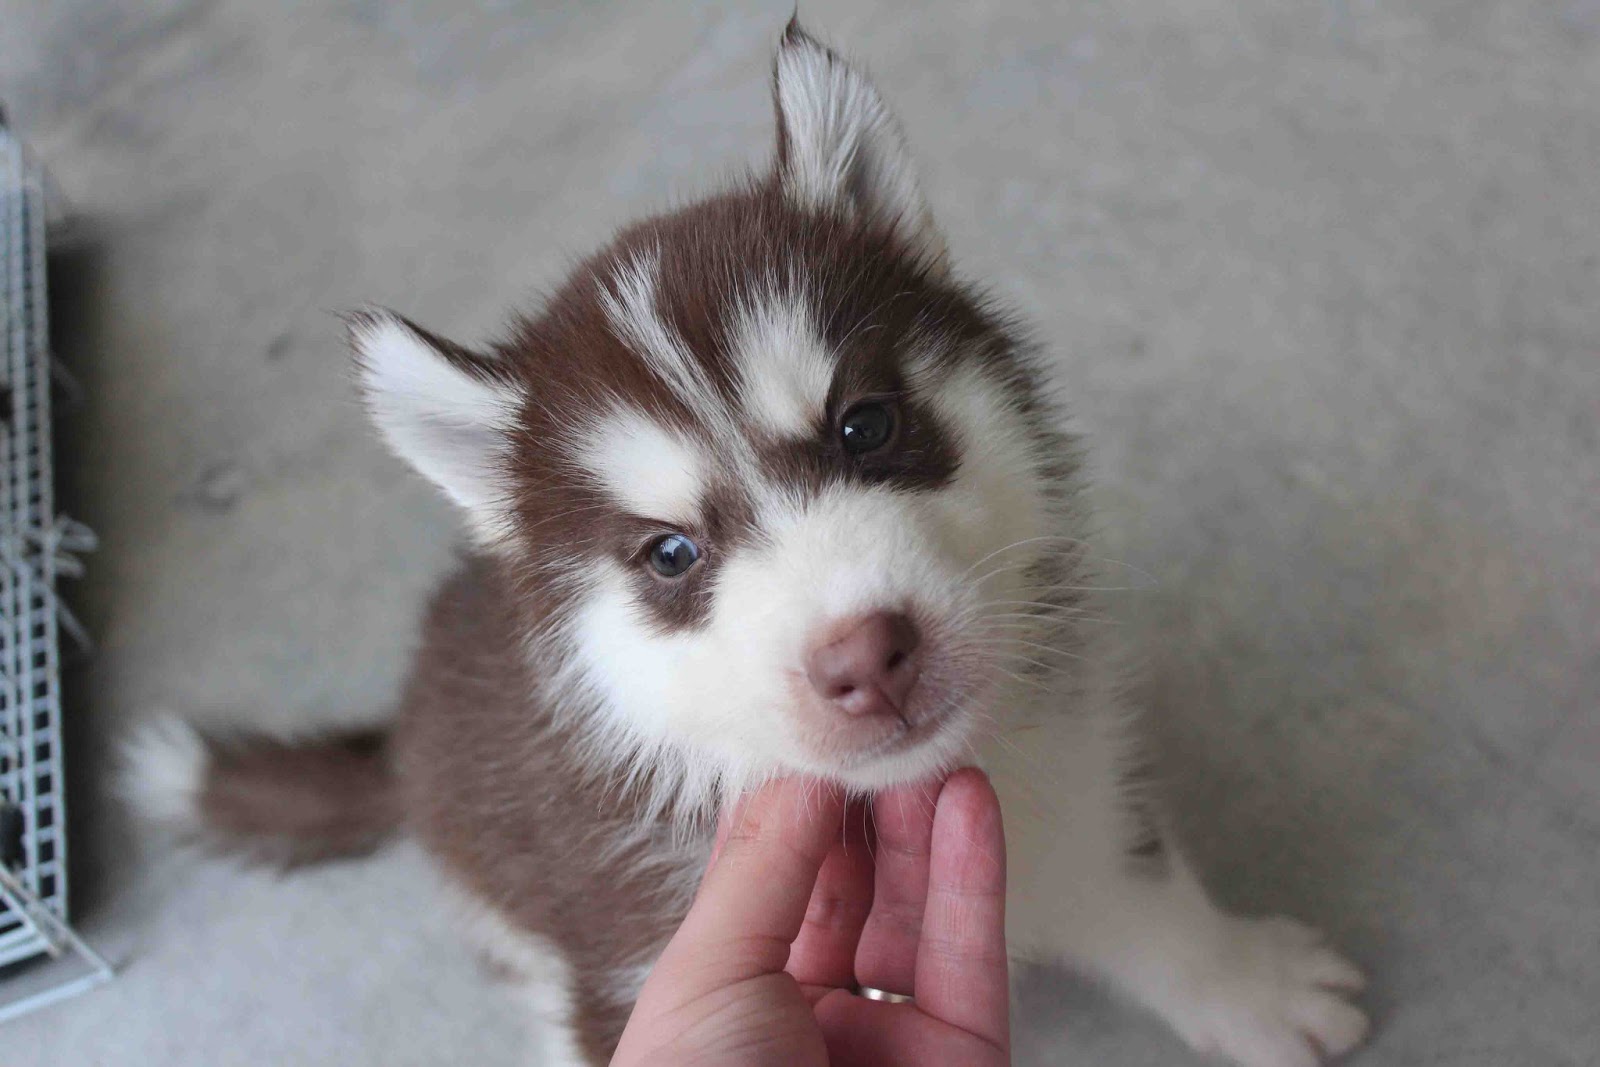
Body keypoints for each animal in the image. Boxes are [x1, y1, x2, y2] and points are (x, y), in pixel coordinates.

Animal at [131, 24, 1369, 1067]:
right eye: (671, 553)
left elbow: (1144, 889)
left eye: (865, 426)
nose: (865, 654)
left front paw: (1247, 981)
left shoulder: (1077, 781)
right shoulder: (627, 958)